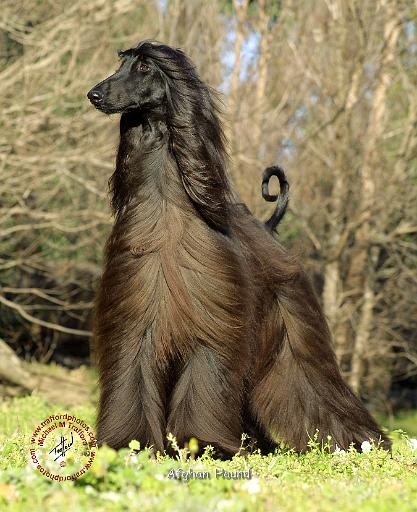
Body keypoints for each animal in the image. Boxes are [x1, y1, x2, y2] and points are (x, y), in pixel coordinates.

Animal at [86, 41, 388, 456]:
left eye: (145, 67)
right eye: (123, 64)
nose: (94, 94)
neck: (167, 214)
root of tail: (269, 230)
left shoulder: (213, 328)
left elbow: (205, 381)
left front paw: (204, 443)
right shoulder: (135, 320)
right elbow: (132, 376)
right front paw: (127, 442)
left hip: (295, 331)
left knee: (313, 381)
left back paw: (363, 442)